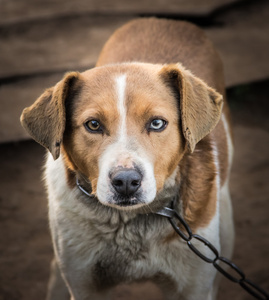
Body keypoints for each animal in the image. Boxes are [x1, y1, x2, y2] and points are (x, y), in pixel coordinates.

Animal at [21, 18, 233, 300]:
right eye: (93, 125)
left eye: (157, 123)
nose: (126, 182)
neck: (130, 222)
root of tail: (164, 20)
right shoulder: (85, 283)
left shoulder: (192, 285)